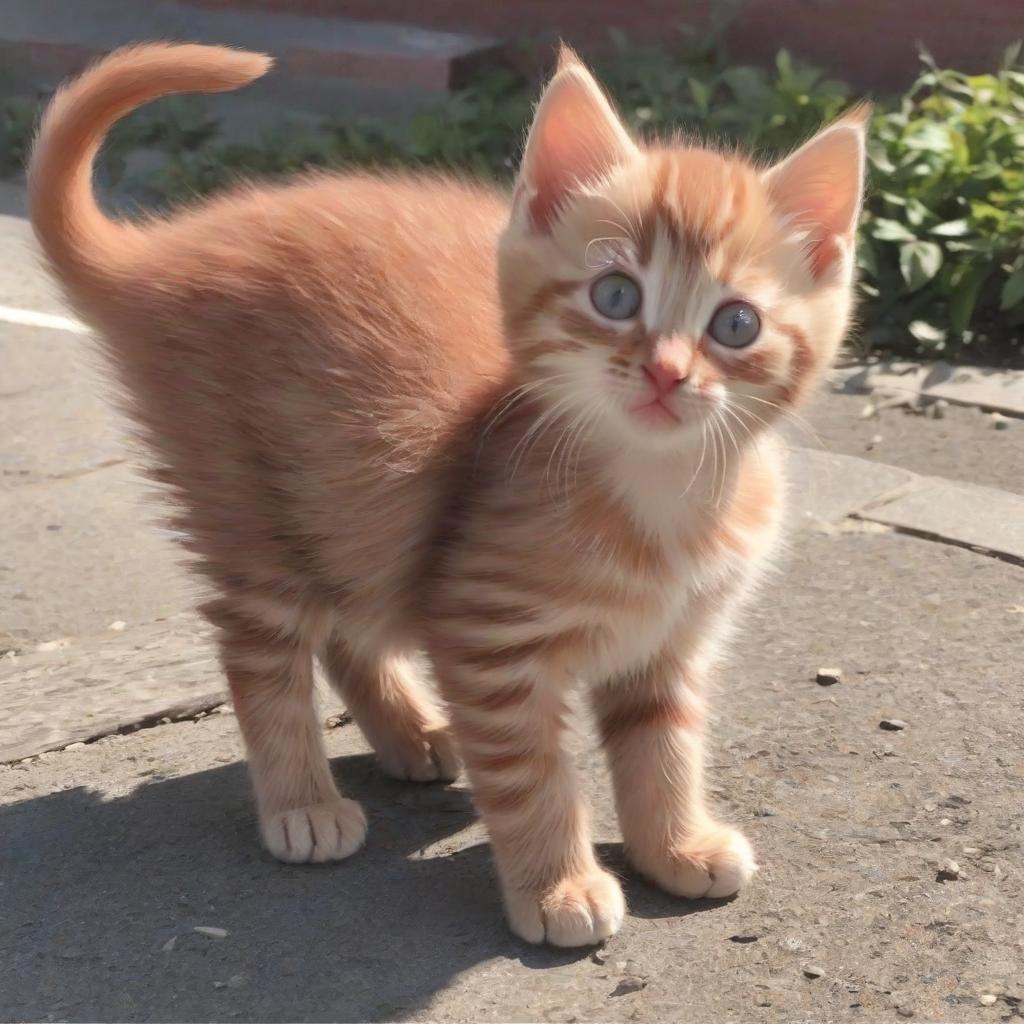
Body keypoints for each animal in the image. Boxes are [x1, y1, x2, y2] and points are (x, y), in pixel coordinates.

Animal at [29, 44, 864, 946]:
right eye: (615, 296)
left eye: (735, 324)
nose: (667, 373)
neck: (665, 491)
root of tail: (165, 254)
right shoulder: (487, 634)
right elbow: (531, 775)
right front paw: (557, 887)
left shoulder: (670, 644)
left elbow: (663, 749)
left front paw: (676, 845)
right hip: (240, 499)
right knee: (261, 654)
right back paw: (303, 804)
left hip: (337, 501)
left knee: (347, 623)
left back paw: (411, 732)